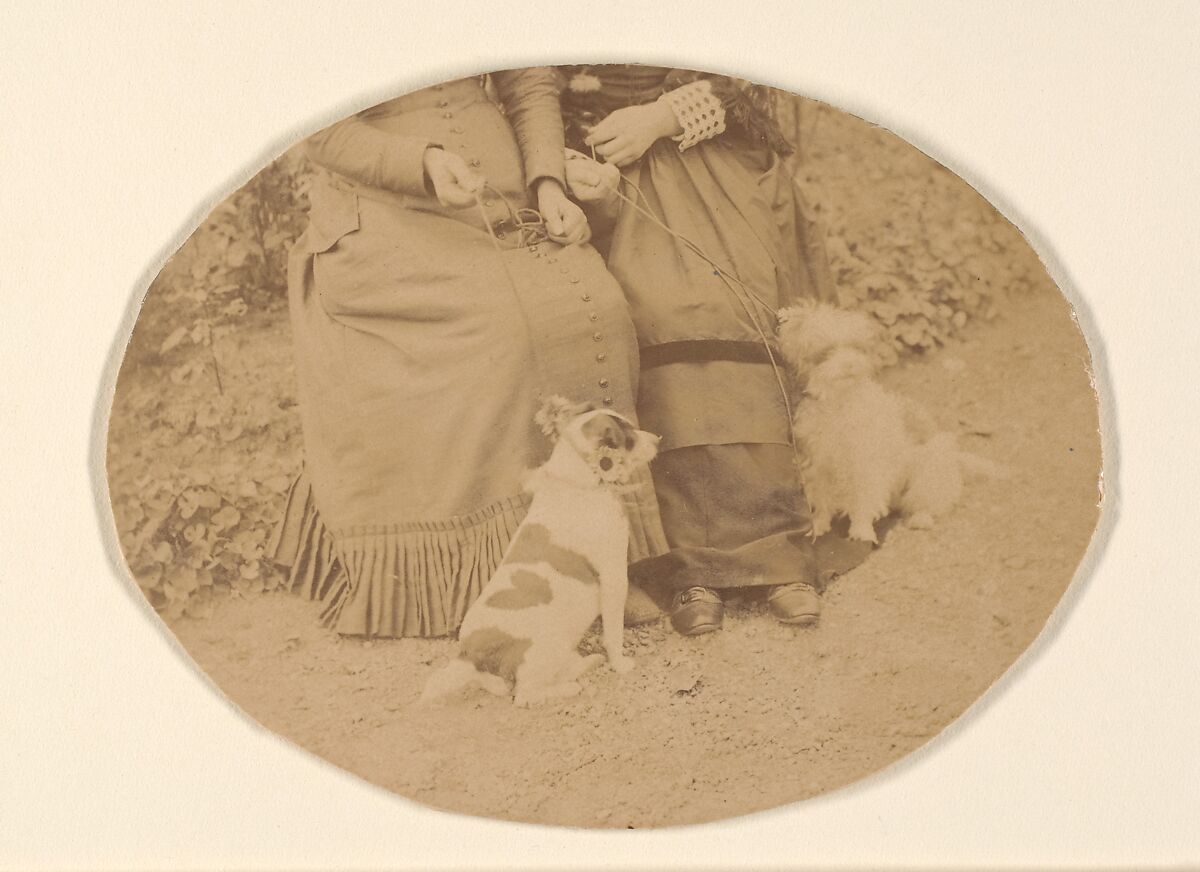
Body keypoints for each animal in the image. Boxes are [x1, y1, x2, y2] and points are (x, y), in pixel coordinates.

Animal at [420, 398, 667, 705]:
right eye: (629, 437)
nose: (658, 439)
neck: (580, 483)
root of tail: (469, 655)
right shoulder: (614, 579)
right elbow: (614, 633)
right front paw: (620, 664)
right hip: (548, 646)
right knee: (525, 695)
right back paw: (569, 687)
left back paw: (584, 664)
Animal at [772, 302, 998, 546]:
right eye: (826, 350)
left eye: (856, 347)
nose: (849, 364)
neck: (840, 401)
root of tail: (953, 459)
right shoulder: (818, 466)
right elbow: (822, 501)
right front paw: (820, 525)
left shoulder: (865, 466)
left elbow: (863, 501)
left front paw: (861, 531)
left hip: (928, 471)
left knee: (929, 501)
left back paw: (921, 517)